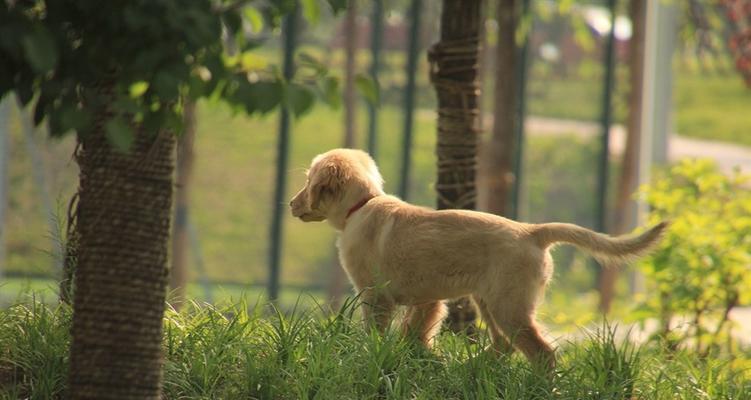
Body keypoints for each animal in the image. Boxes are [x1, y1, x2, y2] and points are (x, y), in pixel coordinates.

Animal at [290, 148, 668, 368]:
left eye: (308, 182)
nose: (292, 204)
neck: (361, 205)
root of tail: (532, 231)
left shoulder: (374, 296)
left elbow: (374, 334)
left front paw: (371, 356)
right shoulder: (428, 299)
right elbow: (418, 330)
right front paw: (422, 356)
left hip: (508, 306)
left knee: (541, 352)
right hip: (488, 300)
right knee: (503, 346)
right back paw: (470, 369)